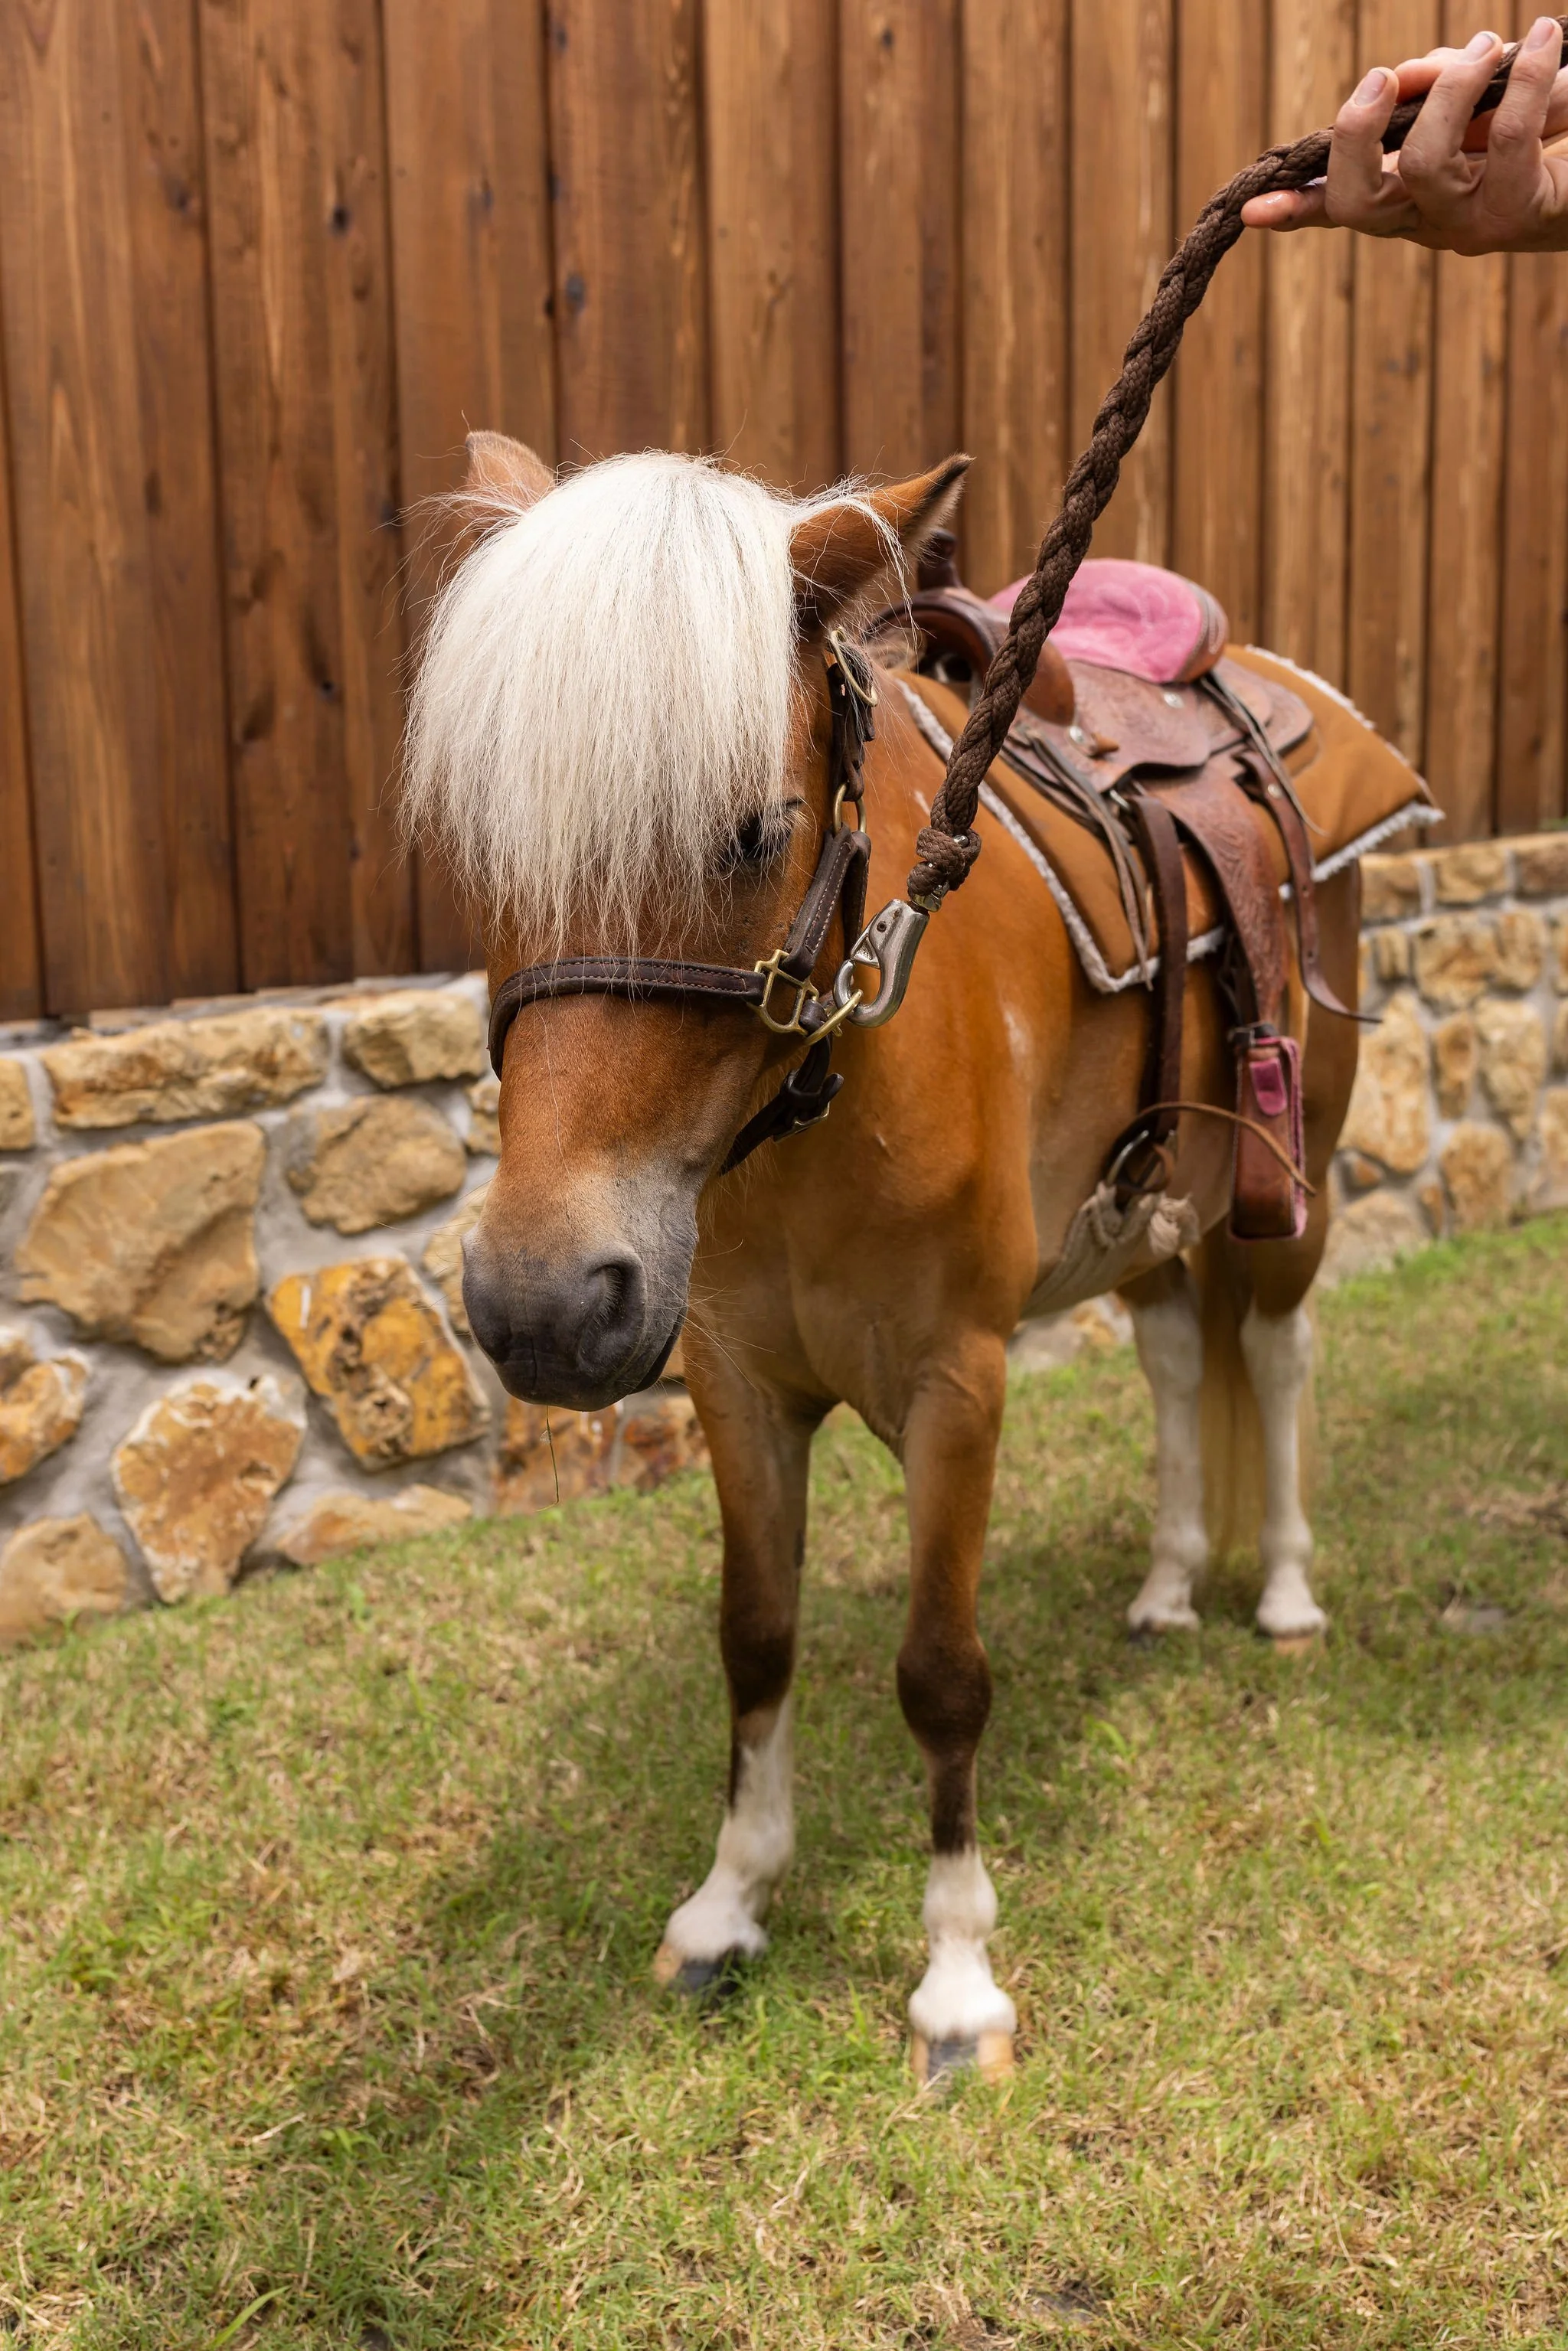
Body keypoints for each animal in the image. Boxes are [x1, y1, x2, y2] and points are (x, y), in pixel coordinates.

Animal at [404, 433, 1372, 2086]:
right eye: (482, 843)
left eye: (748, 830)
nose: (539, 1307)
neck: (828, 1092)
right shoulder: (731, 1379)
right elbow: (755, 1636)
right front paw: (728, 1904)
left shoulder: (956, 1383)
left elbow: (938, 1670)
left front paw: (957, 1975)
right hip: (1148, 1203)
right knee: (1180, 1357)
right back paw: (1172, 1581)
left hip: (1285, 1176)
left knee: (1274, 1351)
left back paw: (1287, 1594)